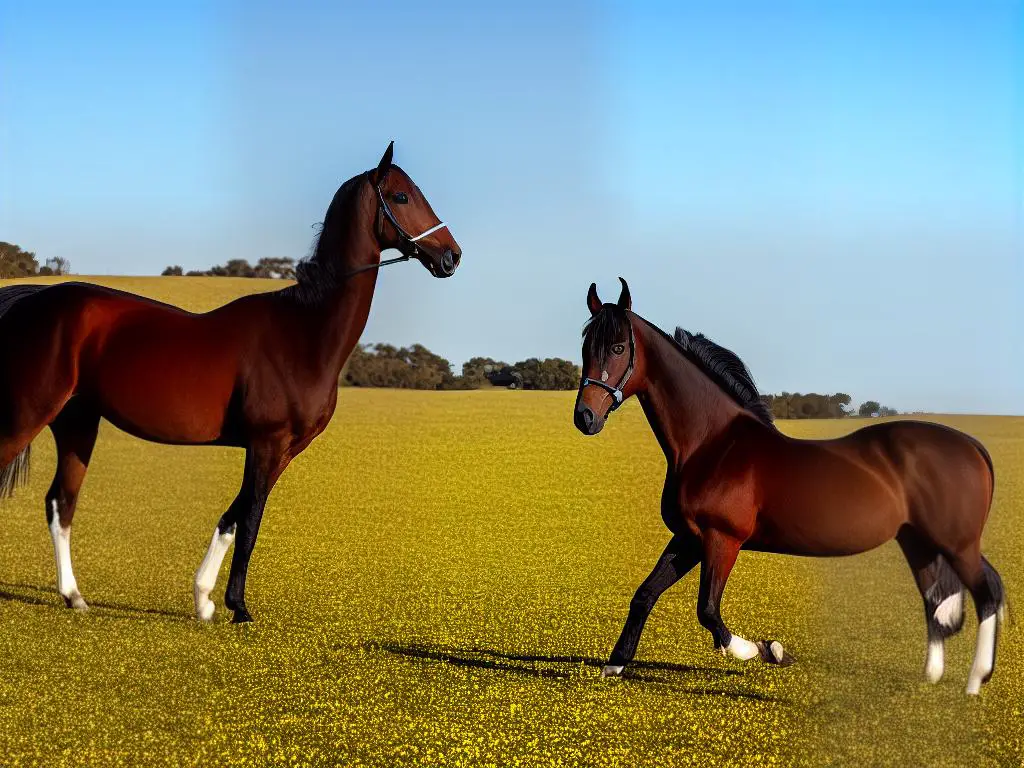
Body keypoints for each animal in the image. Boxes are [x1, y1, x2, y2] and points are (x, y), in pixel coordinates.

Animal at [0, 143, 460, 626]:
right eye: (403, 196)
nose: (452, 255)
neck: (303, 331)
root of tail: (30, 299)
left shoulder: (282, 452)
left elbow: (233, 518)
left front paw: (204, 599)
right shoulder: (265, 443)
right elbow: (250, 521)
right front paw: (238, 607)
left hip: (76, 423)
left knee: (61, 503)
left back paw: (74, 596)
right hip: (27, 417)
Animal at [577, 280, 1007, 696]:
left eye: (617, 347)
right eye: (585, 346)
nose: (585, 417)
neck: (713, 443)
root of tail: (971, 445)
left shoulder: (722, 539)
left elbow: (708, 610)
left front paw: (767, 650)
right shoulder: (689, 538)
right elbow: (645, 594)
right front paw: (614, 665)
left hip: (956, 543)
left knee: (986, 593)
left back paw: (974, 682)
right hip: (920, 542)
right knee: (935, 598)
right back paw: (931, 678)